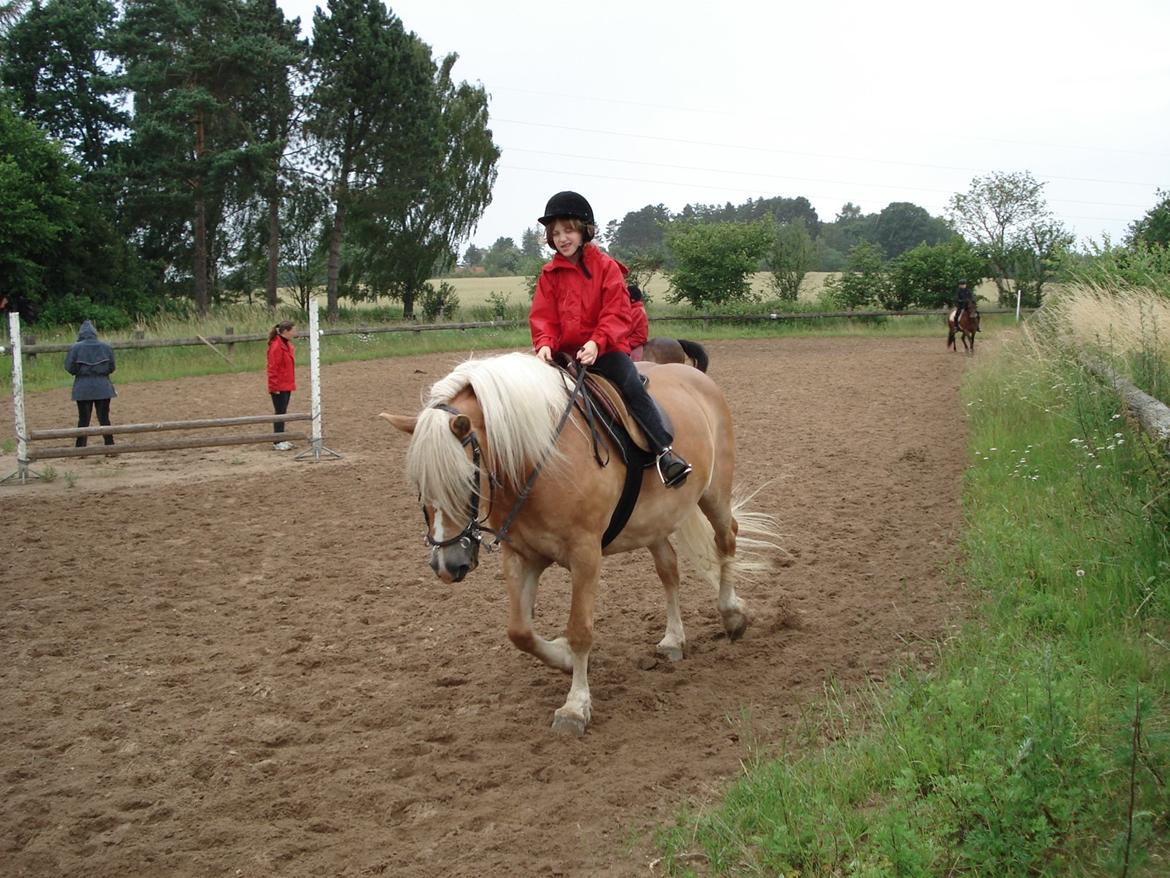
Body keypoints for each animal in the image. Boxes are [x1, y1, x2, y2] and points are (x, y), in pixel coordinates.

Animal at [379, 351, 772, 735]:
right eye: (418, 485)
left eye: (470, 478)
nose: (447, 565)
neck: (540, 461)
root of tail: (697, 377)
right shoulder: (521, 555)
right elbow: (519, 631)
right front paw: (565, 658)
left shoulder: (586, 556)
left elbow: (580, 629)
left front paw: (575, 707)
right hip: (653, 523)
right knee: (669, 570)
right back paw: (674, 639)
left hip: (714, 494)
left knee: (726, 540)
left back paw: (732, 615)